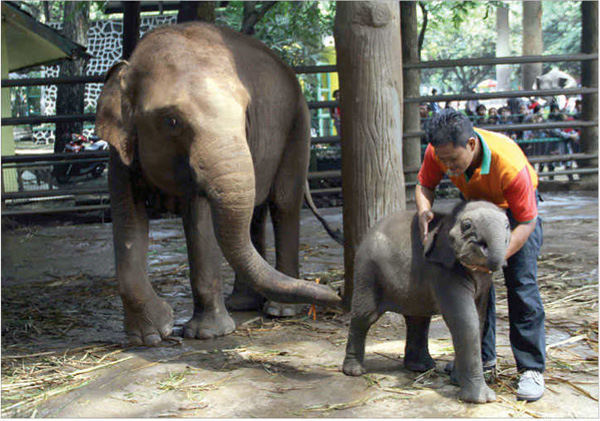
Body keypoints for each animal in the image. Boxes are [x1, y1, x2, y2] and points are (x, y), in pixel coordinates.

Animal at [99, 21, 342, 346]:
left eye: (246, 115)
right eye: (172, 121)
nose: (336, 292)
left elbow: (199, 220)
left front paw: (207, 334)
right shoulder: (120, 155)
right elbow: (127, 218)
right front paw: (151, 336)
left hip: (298, 124)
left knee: (283, 204)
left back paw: (280, 311)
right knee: (254, 214)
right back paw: (244, 303)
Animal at [344, 200, 508, 404]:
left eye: (508, 226)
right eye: (467, 225)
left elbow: (478, 319)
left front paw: (456, 381)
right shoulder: (444, 272)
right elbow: (464, 321)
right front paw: (481, 399)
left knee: (418, 318)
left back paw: (421, 367)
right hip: (367, 271)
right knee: (364, 317)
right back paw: (354, 371)